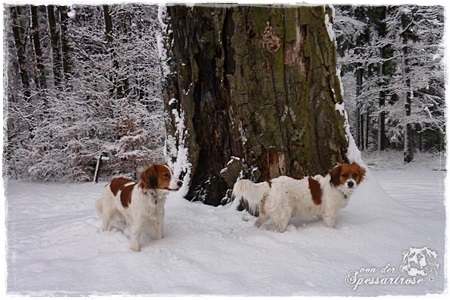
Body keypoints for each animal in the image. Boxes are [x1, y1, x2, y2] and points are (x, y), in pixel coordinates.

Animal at [232, 164, 366, 232]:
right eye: (344, 175)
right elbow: (331, 226)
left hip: (265, 214)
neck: (336, 186)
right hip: (285, 213)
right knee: (279, 229)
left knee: (257, 222)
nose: (351, 183)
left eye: (355, 175)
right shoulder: (329, 213)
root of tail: (270, 183)